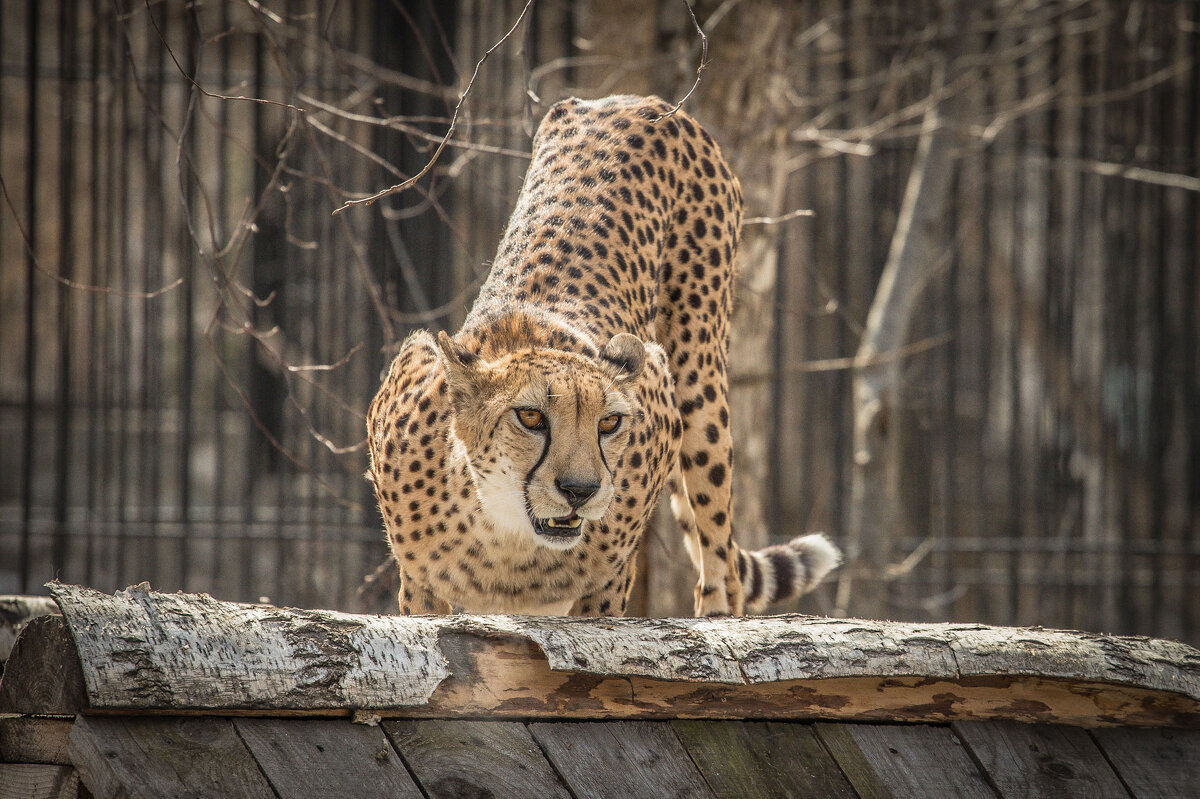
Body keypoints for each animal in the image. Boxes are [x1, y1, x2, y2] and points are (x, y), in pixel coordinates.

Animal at [362, 94, 835, 614]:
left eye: (609, 423)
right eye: (530, 417)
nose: (580, 491)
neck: (505, 538)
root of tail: (635, 100)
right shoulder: (419, 583)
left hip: (700, 381)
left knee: (719, 545)